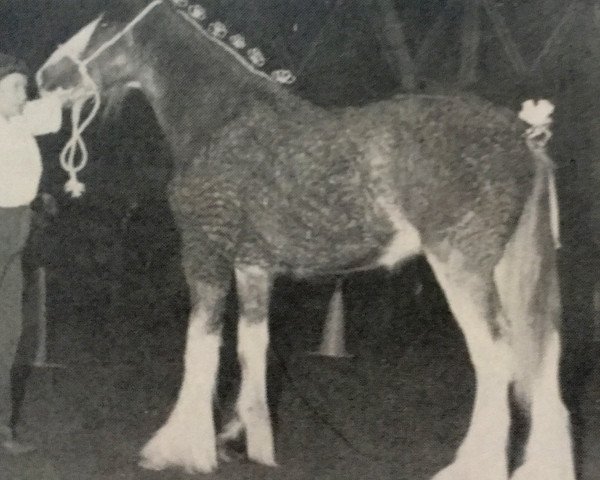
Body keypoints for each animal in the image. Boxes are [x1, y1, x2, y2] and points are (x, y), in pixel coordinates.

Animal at [36, 1, 576, 478]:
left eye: (107, 21)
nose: (47, 75)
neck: (225, 119)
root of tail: (524, 138)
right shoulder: (253, 266)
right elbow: (251, 346)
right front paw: (249, 441)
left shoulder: (205, 254)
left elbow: (201, 345)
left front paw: (180, 448)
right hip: (507, 269)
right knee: (541, 357)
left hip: (460, 265)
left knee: (496, 357)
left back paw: (471, 467)